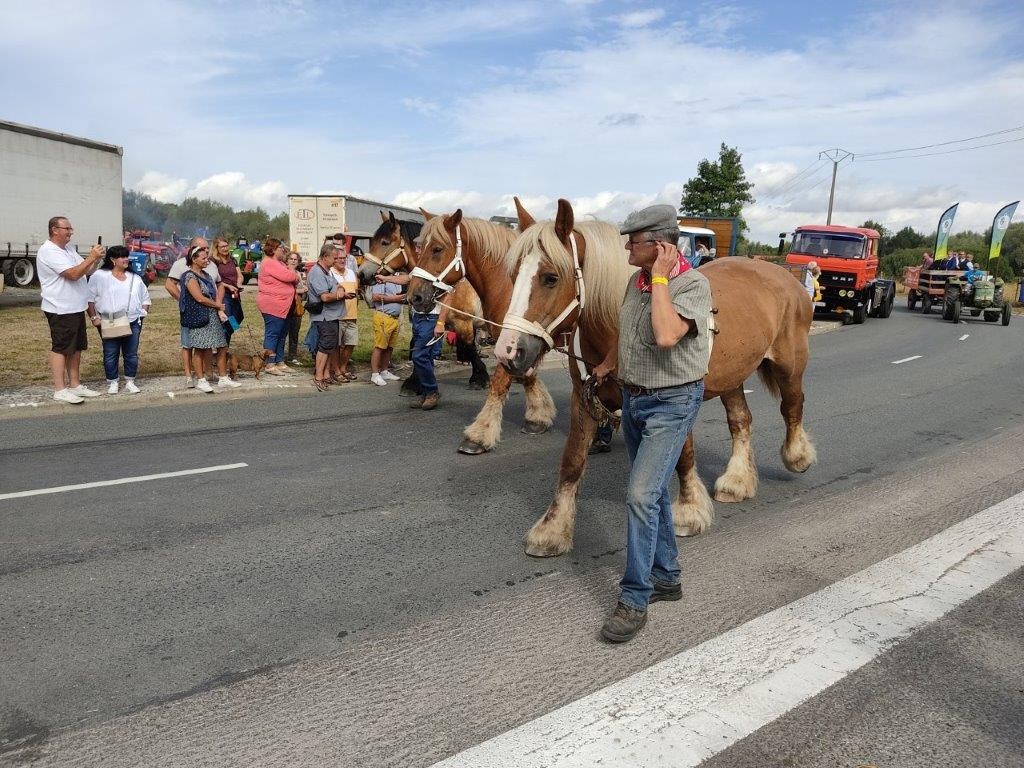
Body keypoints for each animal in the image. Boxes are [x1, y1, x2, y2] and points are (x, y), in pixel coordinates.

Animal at [493, 201, 815, 557]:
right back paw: (737, 481)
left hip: (789, 365)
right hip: (733, 376)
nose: (508, 351)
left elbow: (684, 455)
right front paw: (552, 529)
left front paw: (688, 510)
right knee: (740, 420)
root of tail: (782, 275)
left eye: (550, 278)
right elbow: (572, 461)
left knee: (792, 407)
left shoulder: (677, 400)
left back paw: (797, 456)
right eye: (513, 275)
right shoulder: (585, 399)